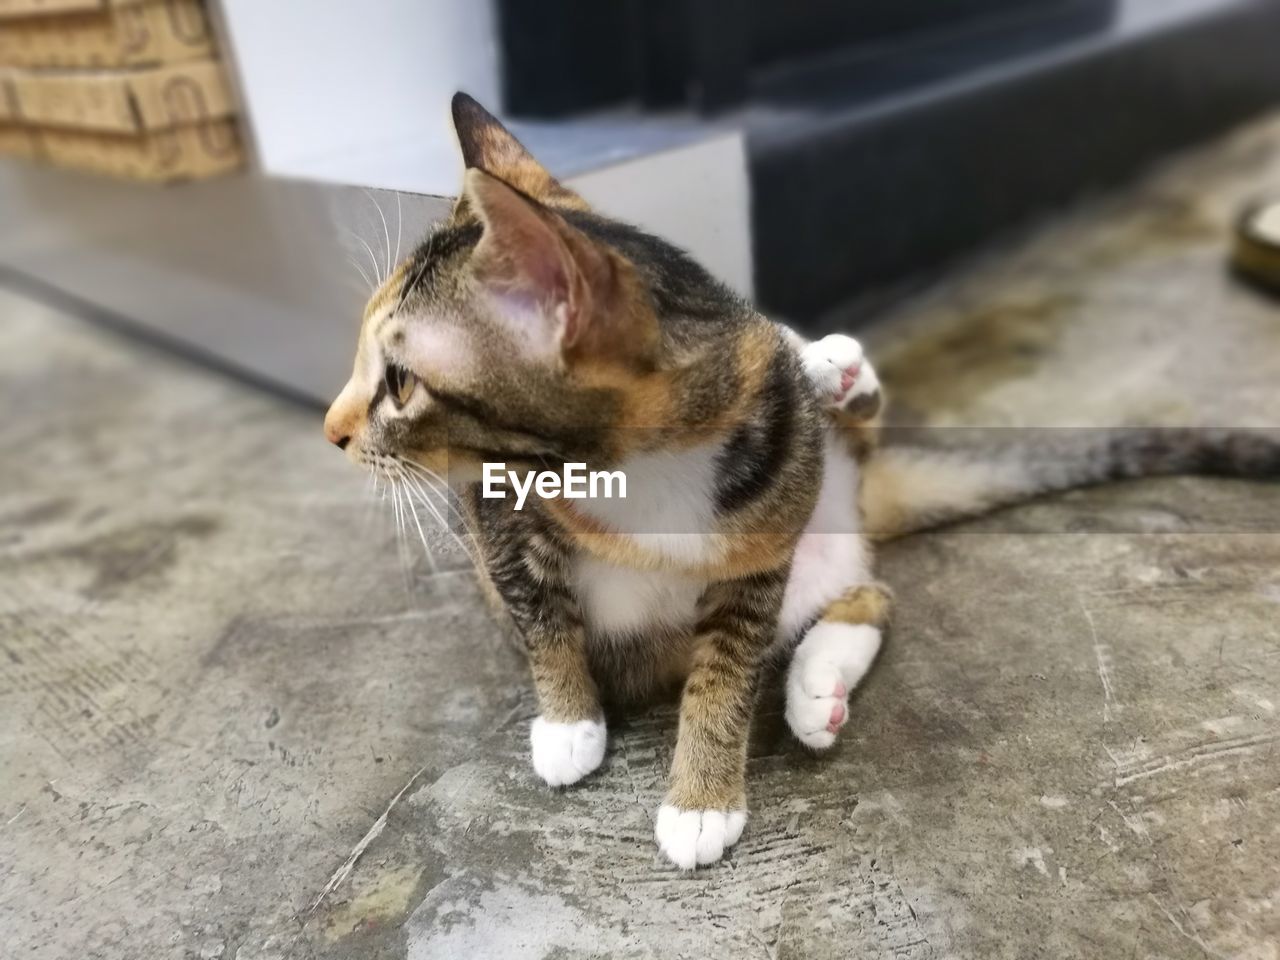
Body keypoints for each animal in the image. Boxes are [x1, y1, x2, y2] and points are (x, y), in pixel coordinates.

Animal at [327, 92, 1280, 870]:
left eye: (399, 383)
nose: (334, 431)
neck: (637, 466)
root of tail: (852, 508)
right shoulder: (498, 517)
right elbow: (542, 618)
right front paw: (570, 723)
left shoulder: (758, 541)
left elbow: (725, 671)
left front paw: (701, 799)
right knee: (867, 592)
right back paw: (816, 682)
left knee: (865, 571)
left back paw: (836, 385)